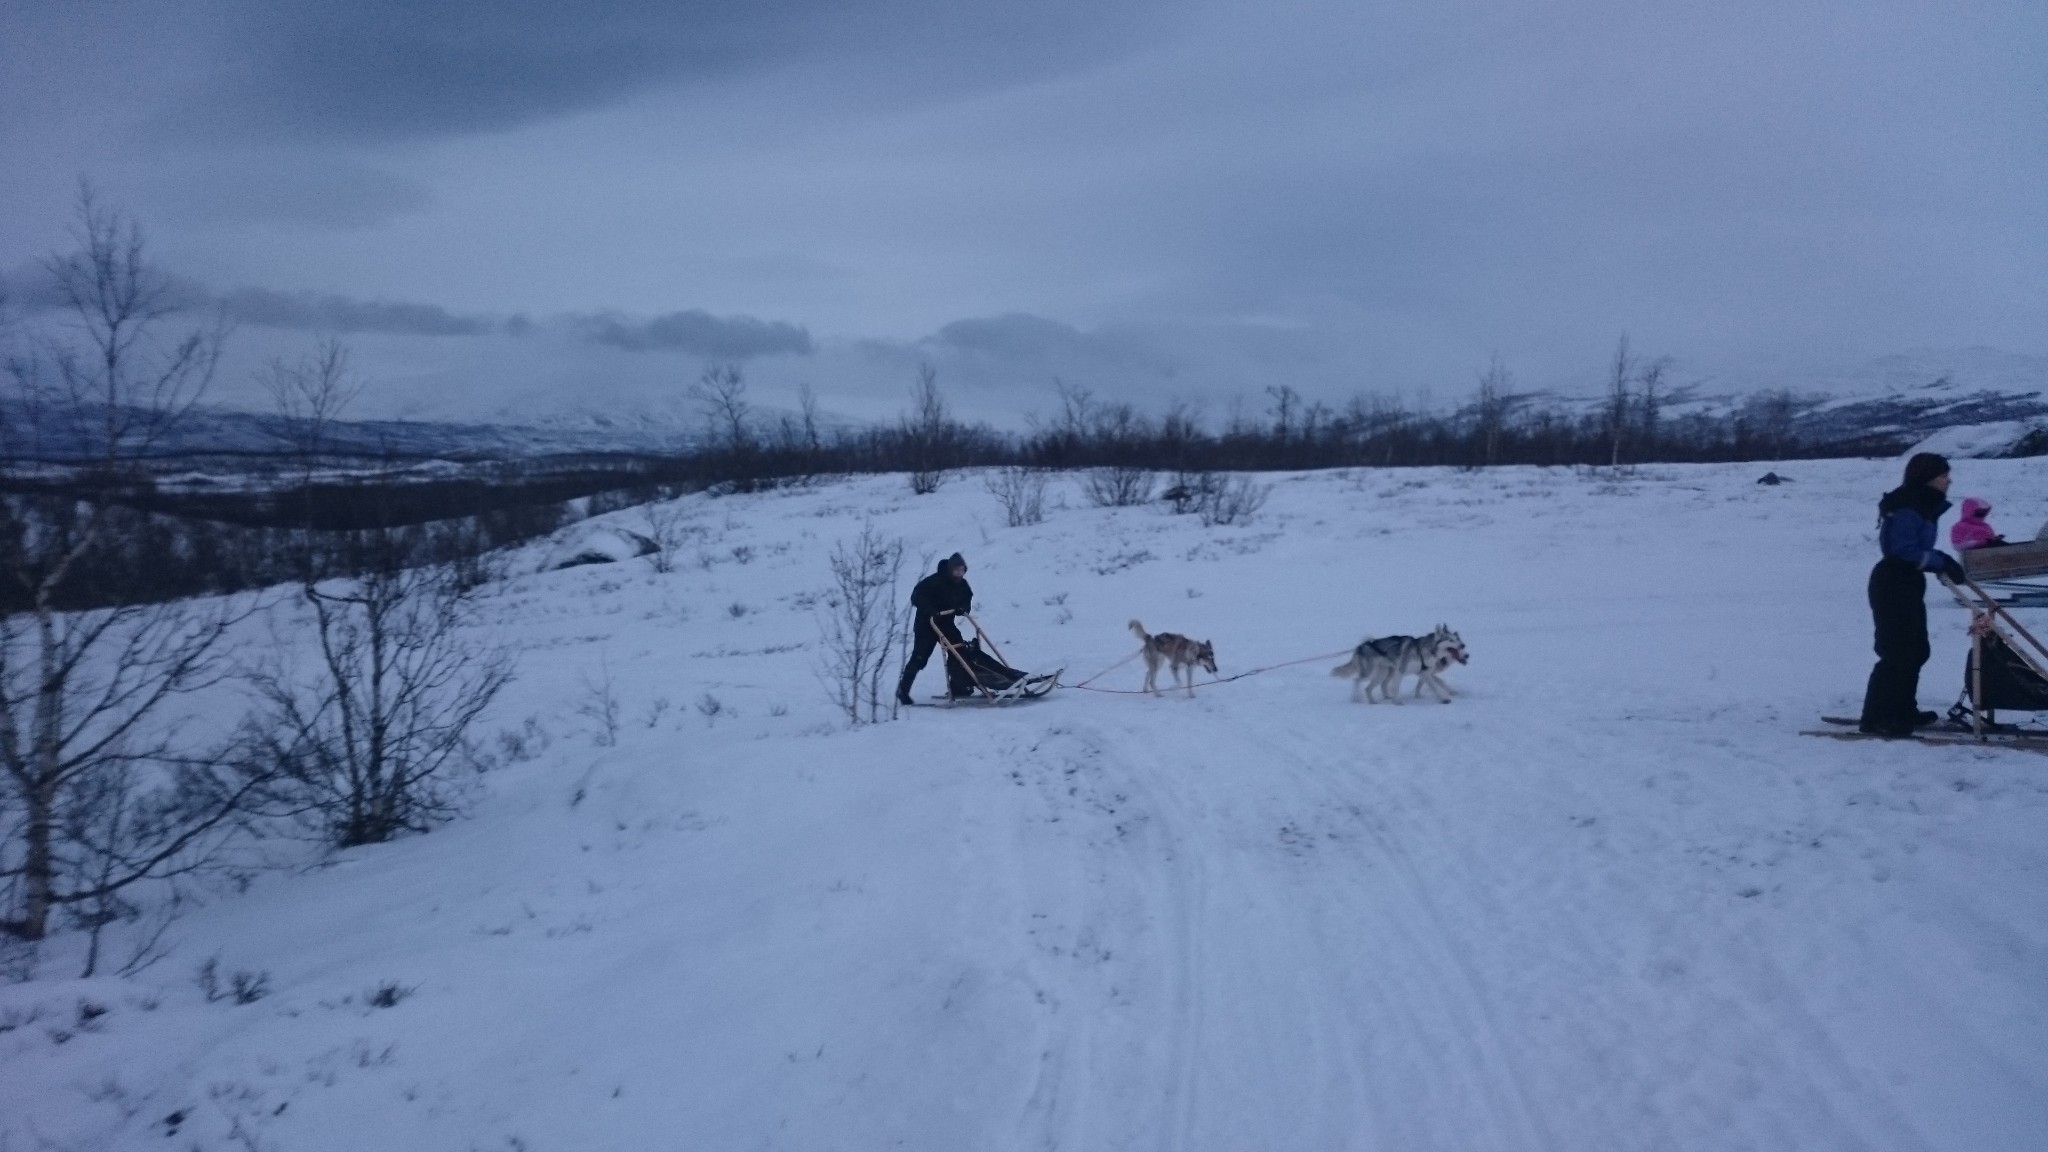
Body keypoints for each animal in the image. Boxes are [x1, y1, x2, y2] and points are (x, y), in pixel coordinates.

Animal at [1335, 619, 1466, 701]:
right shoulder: (1401, 670)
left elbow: (1434, 686)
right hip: (1370, 673)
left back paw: (1377, 700)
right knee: (1356, 680)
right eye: (1450, 640)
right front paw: (1397, 701)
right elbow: (1396, 688)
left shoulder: (1424, 673)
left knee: (1371, 687)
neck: (1425, 650)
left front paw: (1443, 699)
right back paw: (1355, 698)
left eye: (1457, 639)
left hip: (1382, 674)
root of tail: (1360, 646)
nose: (1463, 645)